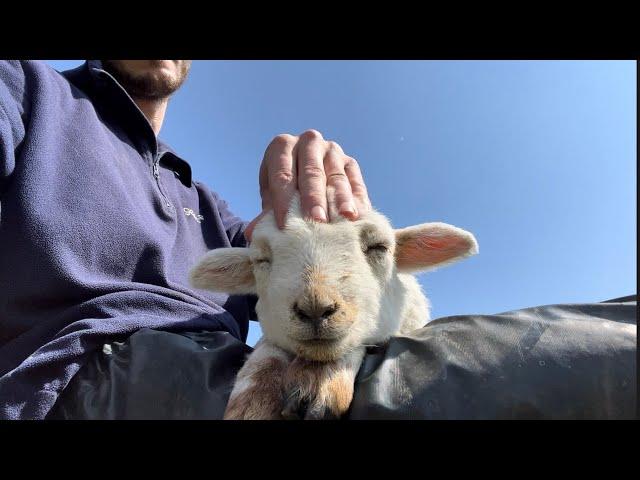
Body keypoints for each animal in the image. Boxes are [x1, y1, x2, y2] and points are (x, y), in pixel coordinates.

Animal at [190, 195, 480, 420]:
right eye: (261, 260)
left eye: (379, 247)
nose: (315, 309)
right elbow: (266, 353)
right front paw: (253, 400)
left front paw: (319, 381)